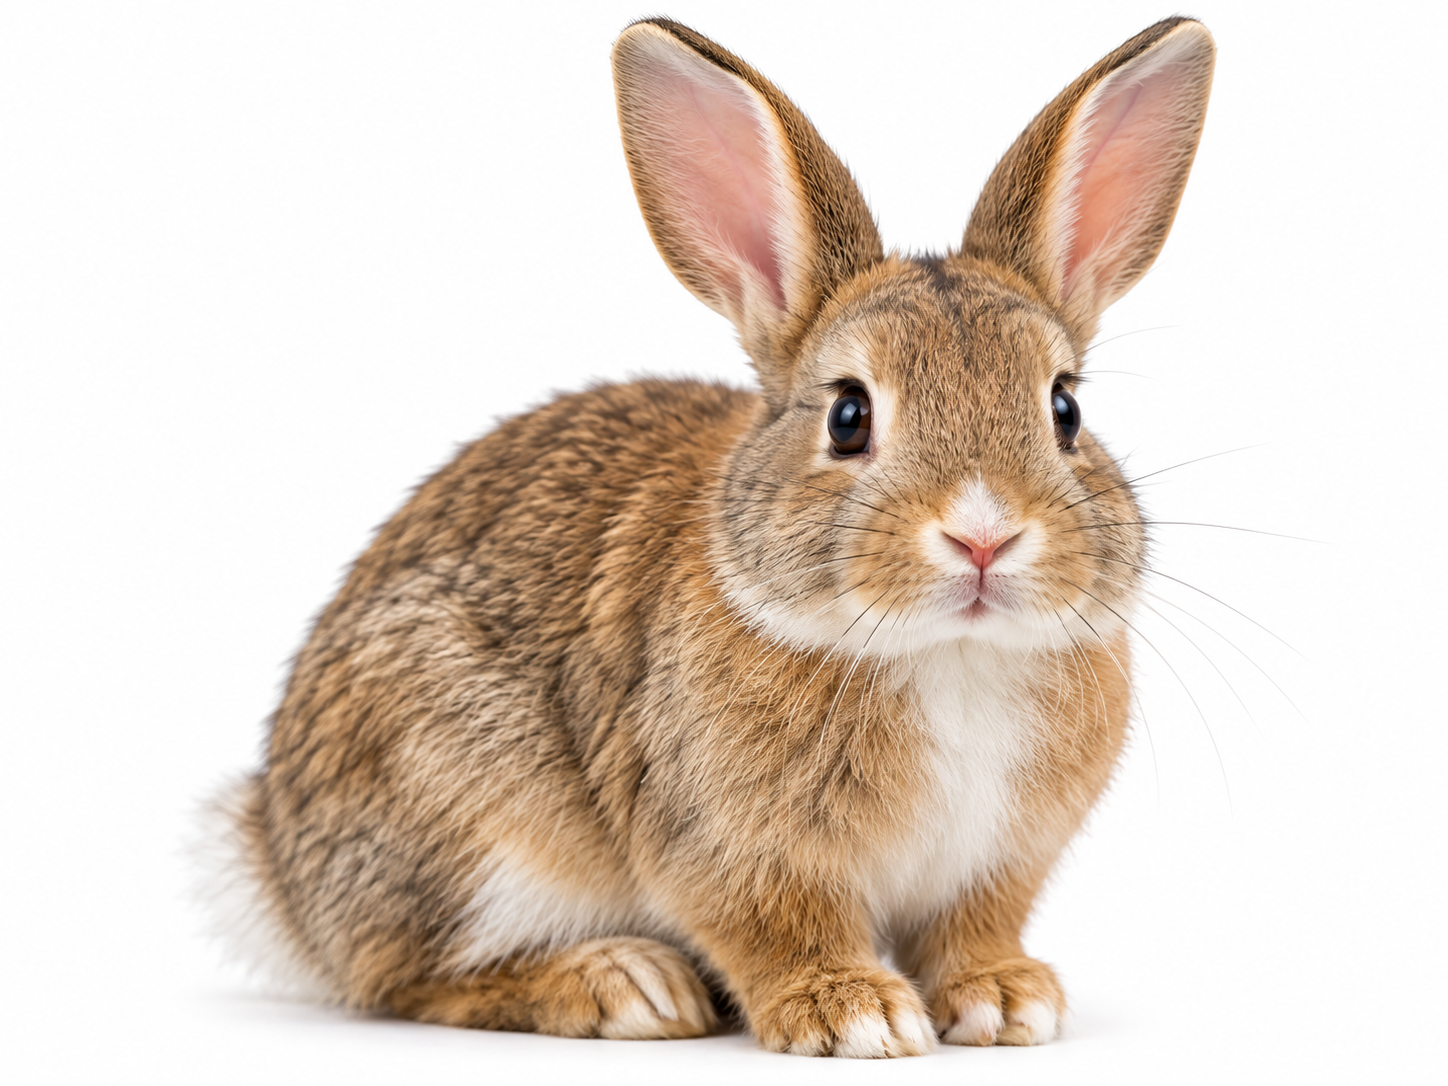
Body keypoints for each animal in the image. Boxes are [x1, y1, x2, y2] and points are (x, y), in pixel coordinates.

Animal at [204, 15, 1215, 1057]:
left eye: (1064, 410)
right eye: (848, 416)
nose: (983, 536)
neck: (948, 653)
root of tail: (280, 876)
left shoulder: (996, 865)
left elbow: (972, 929)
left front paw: (1006, 1003)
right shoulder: (726, 848)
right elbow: (775, 928)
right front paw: (853, 1012)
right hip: (465, 812)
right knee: (408, 977)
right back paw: (624, 985)